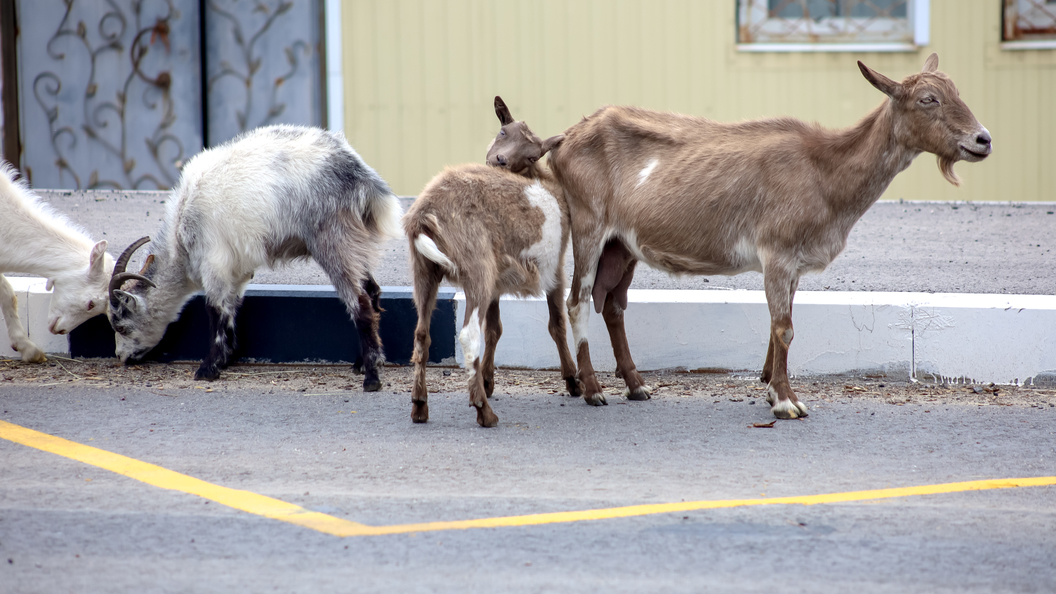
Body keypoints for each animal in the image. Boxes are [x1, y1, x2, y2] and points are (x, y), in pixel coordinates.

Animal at [108, 124, 403, 384]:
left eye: (121, 325)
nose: (122, 357)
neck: (179, 236)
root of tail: (361, 175)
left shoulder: (214, 262)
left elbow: (214, 308)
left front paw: (208, 369)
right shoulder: (237, 270)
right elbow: (231, 307)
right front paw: (226, 358)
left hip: (333, 241)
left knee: (360, 303)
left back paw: (371, 377)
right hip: (354, 243)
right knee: (372, 291)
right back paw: (363, 362)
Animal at [540, 53, 992, 418]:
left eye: (956, 92)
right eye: (928, 100)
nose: (983, 140)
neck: (825, 171)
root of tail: (563, 141)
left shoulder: (792, 262)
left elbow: (781, 325)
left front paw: (772, 390)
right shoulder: (777, 253)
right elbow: (784, 328)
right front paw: (787, 403)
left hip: (622, 245)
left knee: (613, 305)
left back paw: (636, 386)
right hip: (589, 225)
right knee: (577, 301)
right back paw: (593, 391)